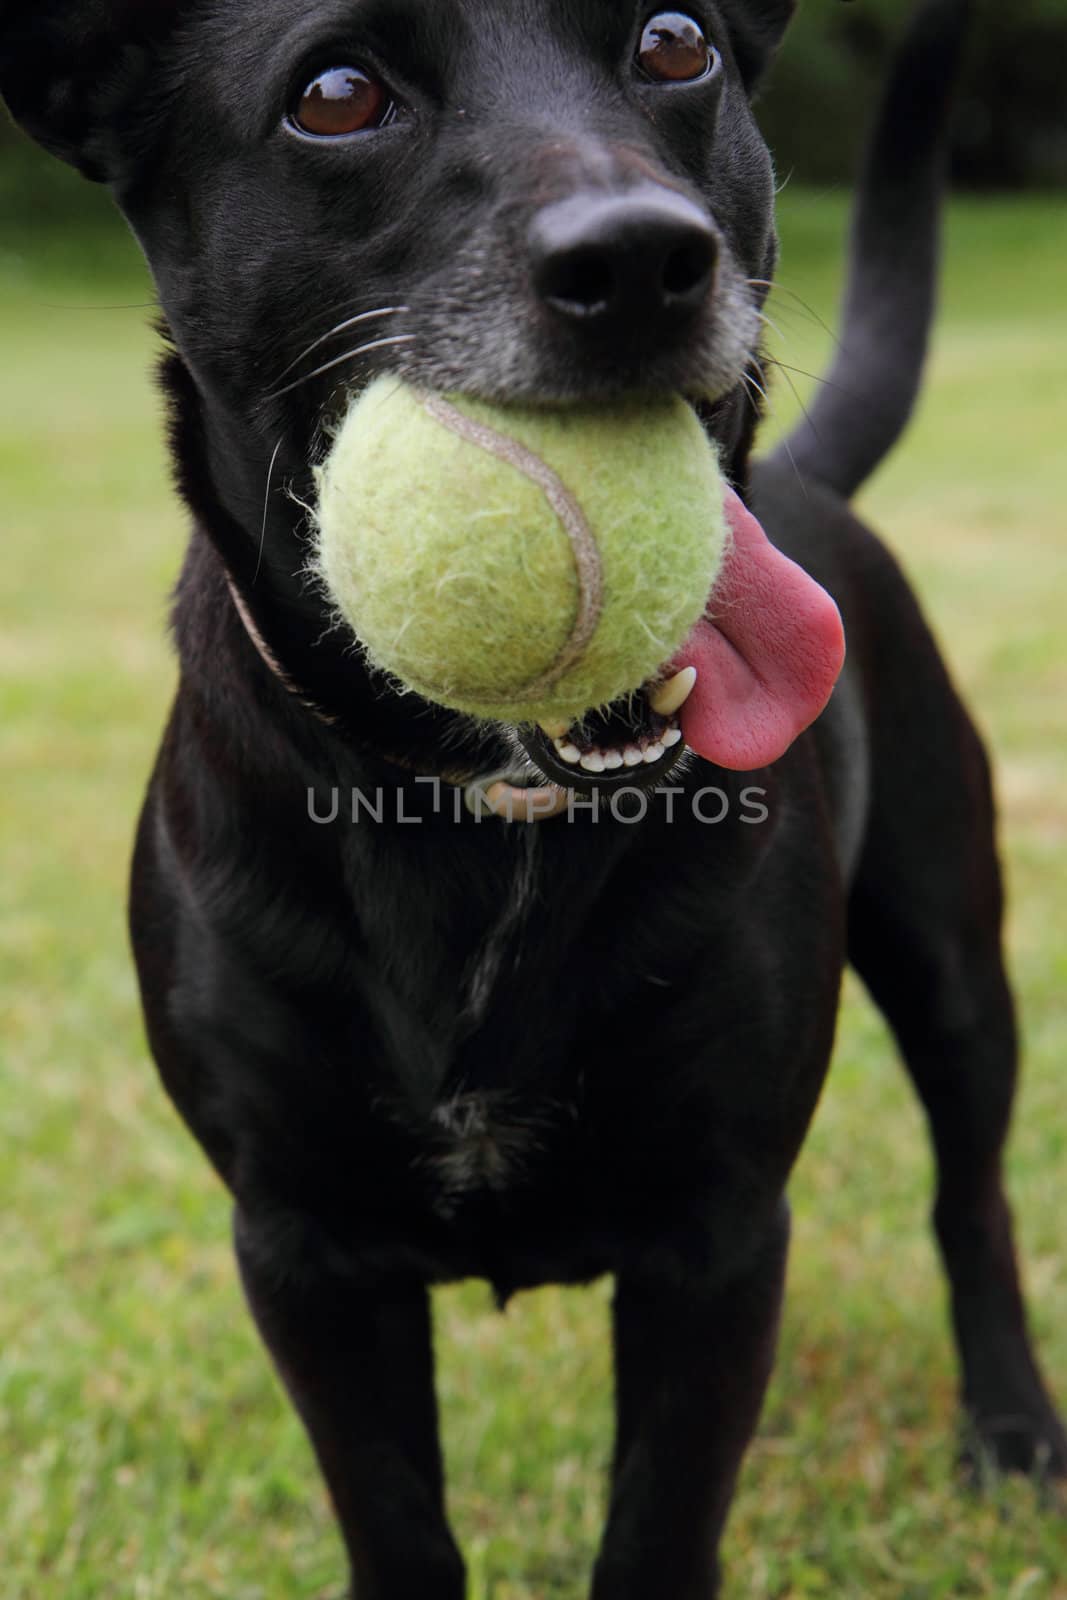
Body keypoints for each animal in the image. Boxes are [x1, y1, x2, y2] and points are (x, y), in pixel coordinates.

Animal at [4, 0, 1062, 1593]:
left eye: (675, 41)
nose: (638, 260)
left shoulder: (715, 1236)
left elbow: (654, 1530)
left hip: (948, 949)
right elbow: (396, 1522)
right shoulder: (303, 1252)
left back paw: (1006, 1428)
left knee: (970, 1192)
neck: (483, 810)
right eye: (333, 93)